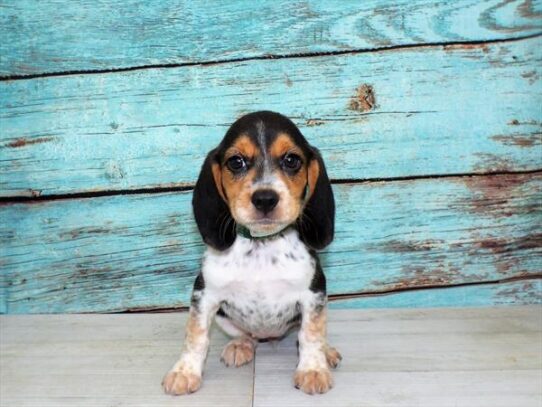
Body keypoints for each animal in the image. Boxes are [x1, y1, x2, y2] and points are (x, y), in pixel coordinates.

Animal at [162, 111, 342, 396]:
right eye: (236, 162)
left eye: (291, 160)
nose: (265, 199)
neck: (262, 245)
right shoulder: (204, 295)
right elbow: (196, 336)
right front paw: (185, 372)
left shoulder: (313, 295)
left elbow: (311, 334)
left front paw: (313, 369)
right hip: (224, 317)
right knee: (244, 335)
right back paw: (240, 345)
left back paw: (326, 352)